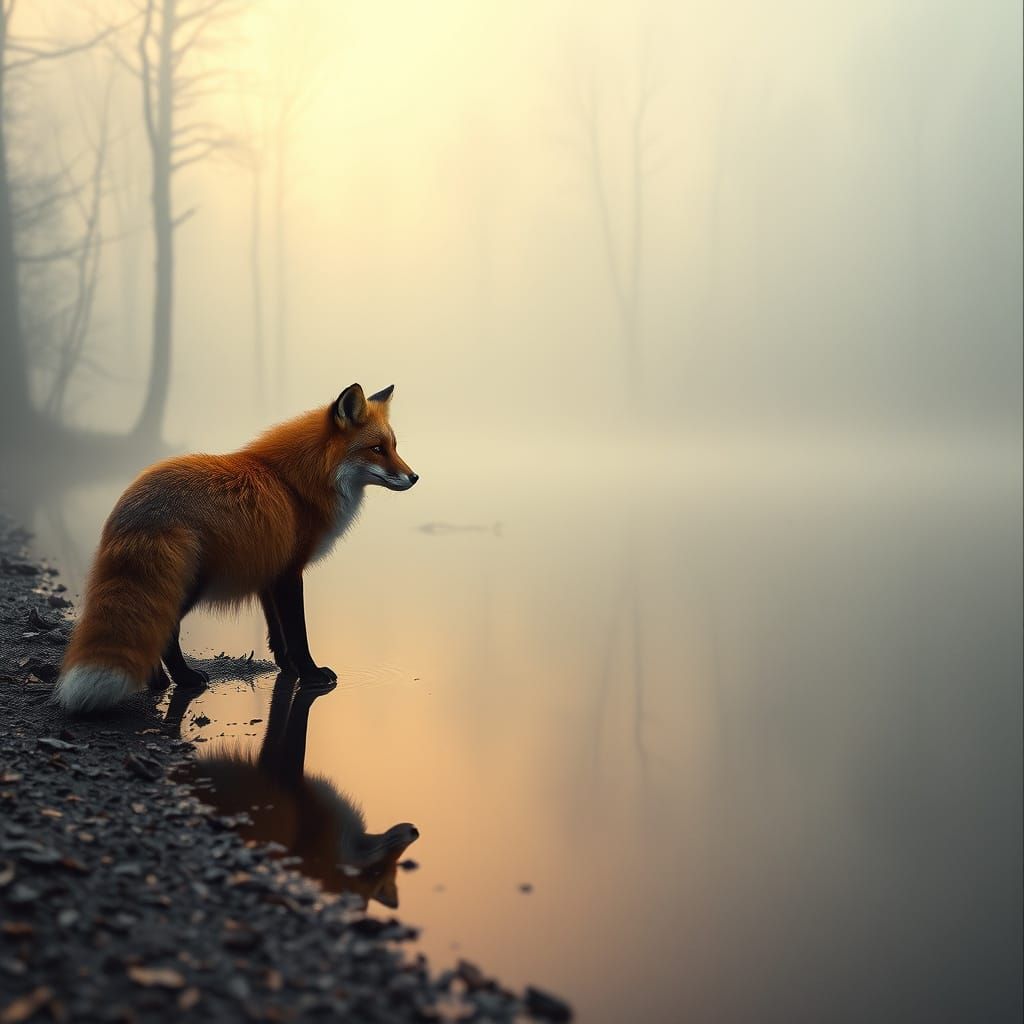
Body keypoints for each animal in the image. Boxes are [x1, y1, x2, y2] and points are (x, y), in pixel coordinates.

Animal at [53, 383, 418, 714]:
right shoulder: (290, 573)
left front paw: (288, 670)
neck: (293, 487)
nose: (414, 477)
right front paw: (311, 673)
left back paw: (157, 681)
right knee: (166, 631)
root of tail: (140, 506)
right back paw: (184, 678)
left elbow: (278, 636)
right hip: (189, 584)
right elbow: (297, 634)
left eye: (394, 447)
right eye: (376, 449)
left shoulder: (270, 572)